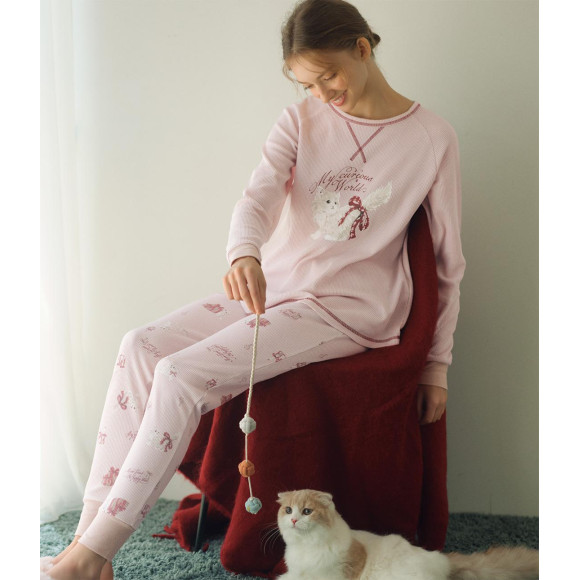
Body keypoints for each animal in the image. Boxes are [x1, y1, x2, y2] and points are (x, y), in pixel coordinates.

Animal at [276, 489, 539, 580]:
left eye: (307, 511)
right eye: (288, 510)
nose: (294, 519)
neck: (306, 547)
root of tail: (439, 558)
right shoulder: (294, 573)